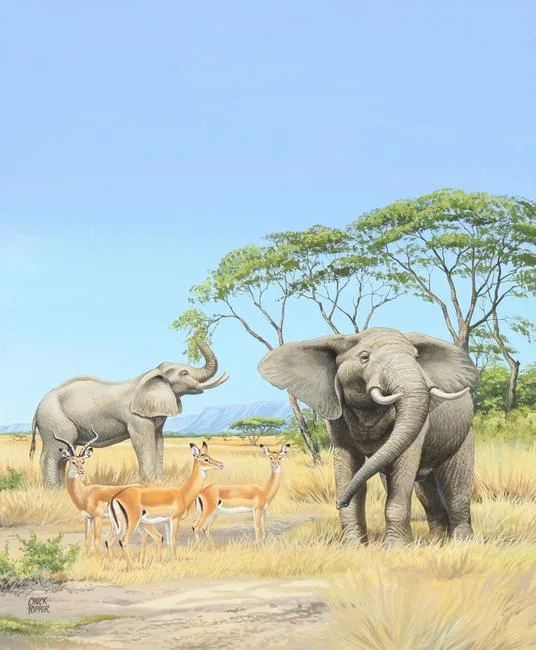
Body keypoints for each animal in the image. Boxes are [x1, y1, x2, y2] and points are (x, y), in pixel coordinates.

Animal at [30, 340, 228, 488]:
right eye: (184, 373)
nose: (198, 337)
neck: (153, 374)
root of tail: (37, 410)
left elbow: (158, 440)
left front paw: (157, 482)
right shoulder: (136, 417)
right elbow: (143, 441)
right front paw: (148, 483)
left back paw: (63, 488)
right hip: (54, 420)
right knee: (54, 453)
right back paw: (54, 490)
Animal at [258, 327, 479, 545]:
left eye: (416, 358)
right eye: (364, 357)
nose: (338, 502)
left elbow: (403, 468)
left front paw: (397, 547)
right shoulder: (337, 416)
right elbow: (347, 463)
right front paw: (353, 545)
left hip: (463, 435)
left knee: (454, 486)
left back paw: (461, 542)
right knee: (424, 490)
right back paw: (436, 541)